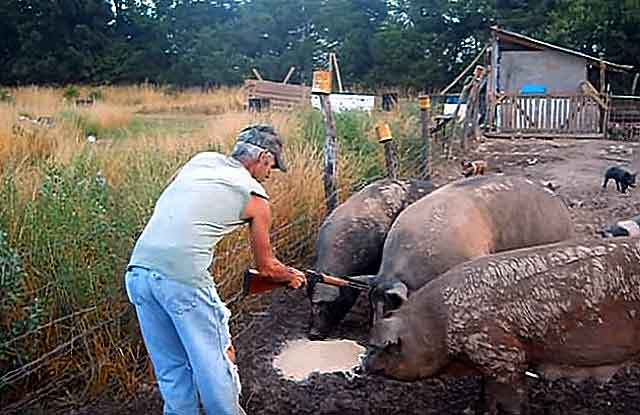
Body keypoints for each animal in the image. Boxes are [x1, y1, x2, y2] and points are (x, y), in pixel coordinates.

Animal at [364, 237, 640, 415]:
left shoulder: (502, 354)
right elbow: (488, 393)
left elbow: (510, 398)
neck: (436, 325)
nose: (362, 364)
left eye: (379, 347)